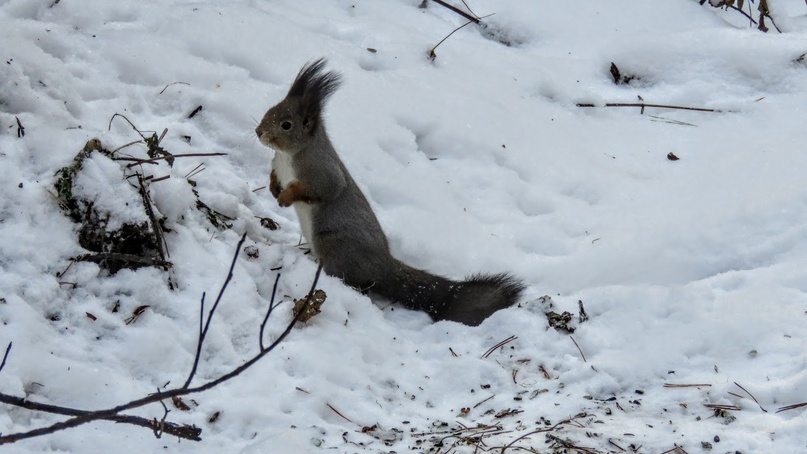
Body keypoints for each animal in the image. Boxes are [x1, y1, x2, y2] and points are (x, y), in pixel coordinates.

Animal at [256, 58, 528, 324]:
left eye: (286, 125)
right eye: (269, 111)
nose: (259, 132)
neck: (287, 156)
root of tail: (383, 266)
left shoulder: (322, 173)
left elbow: (322, 189)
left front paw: (285, 197)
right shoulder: (278, 167)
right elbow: (273, 177)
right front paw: (274, 189)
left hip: (334, 245)